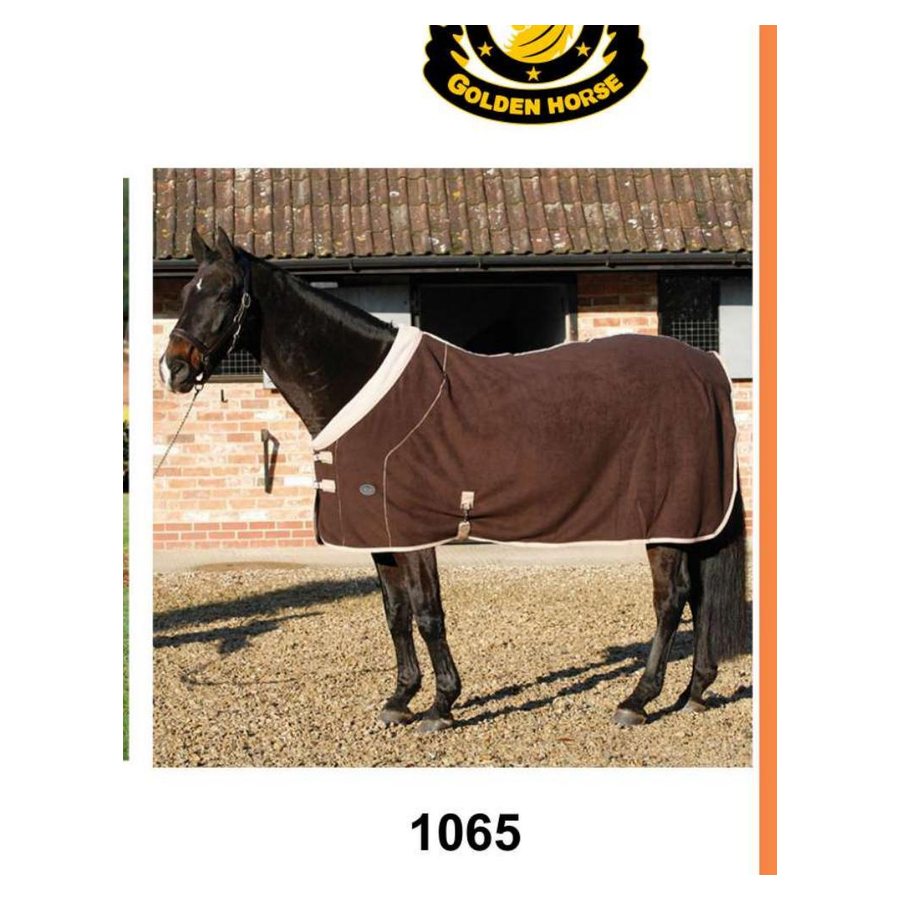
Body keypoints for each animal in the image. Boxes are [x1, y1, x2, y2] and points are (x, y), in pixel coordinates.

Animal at [160, 227, 749, 732]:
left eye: (223, 292)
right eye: (186, 289)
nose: (173, 369)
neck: (362, 386)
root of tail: (708, 370)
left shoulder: (415, 531)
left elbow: (427, 613)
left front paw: (441, 705)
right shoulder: (382, 535)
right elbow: (395, 613)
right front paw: (400, 698)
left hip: (667, 519)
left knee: (671, 600)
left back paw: (637, 700)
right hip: (693, 521)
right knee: (699, 596)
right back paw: (695, 692)